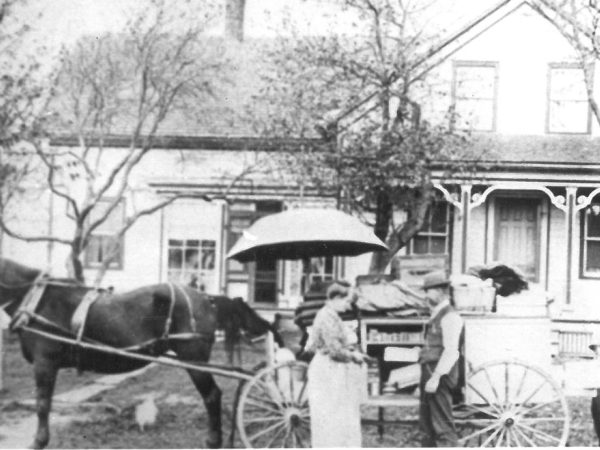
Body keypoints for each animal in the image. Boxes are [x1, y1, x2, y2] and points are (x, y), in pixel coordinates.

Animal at [0, 258, 282, 448]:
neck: (38, 299)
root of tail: (207, 298)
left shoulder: (45, 363)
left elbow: (42, 404)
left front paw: (39, 441)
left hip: (194, 359)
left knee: (212, 396)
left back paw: (213, 440)